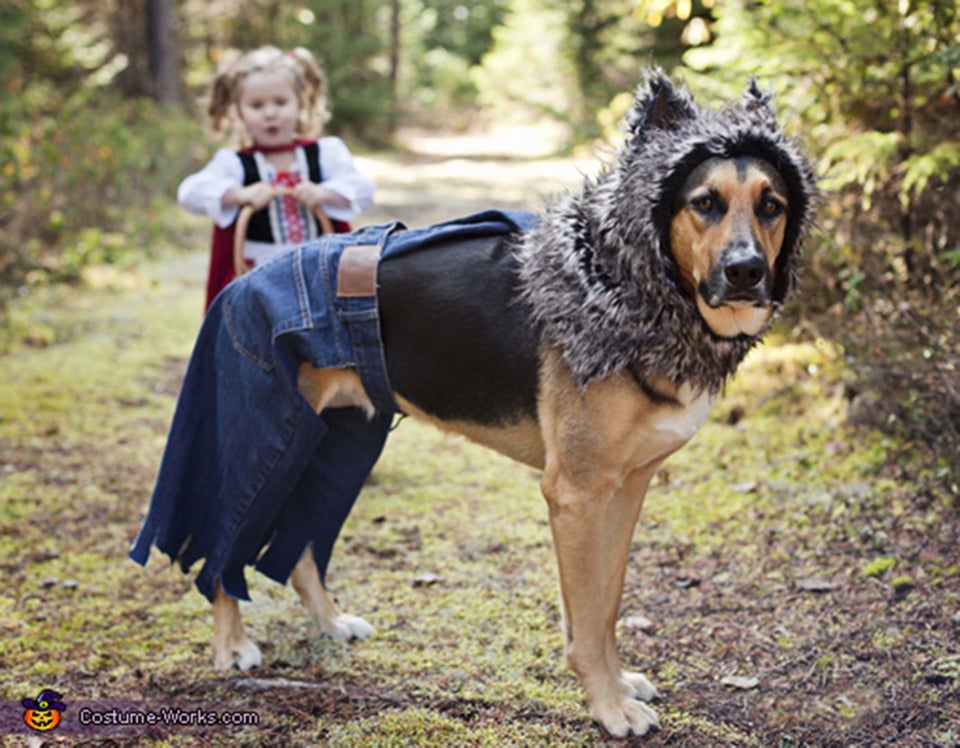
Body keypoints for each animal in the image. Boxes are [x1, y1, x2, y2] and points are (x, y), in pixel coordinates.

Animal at [133, 73, 816, 740]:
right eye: (704, 203)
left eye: (772, 206)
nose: (747, 271)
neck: (631, 293)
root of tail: (244, 281)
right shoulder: (577, 494)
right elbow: (589, 616)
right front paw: (609, 707)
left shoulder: (626, 487)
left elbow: (604, 605)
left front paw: (617, 686)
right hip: (262, 442)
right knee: (225, 542)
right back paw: (231, 646)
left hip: (332, 444)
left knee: (298, 544)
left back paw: (329, 623)